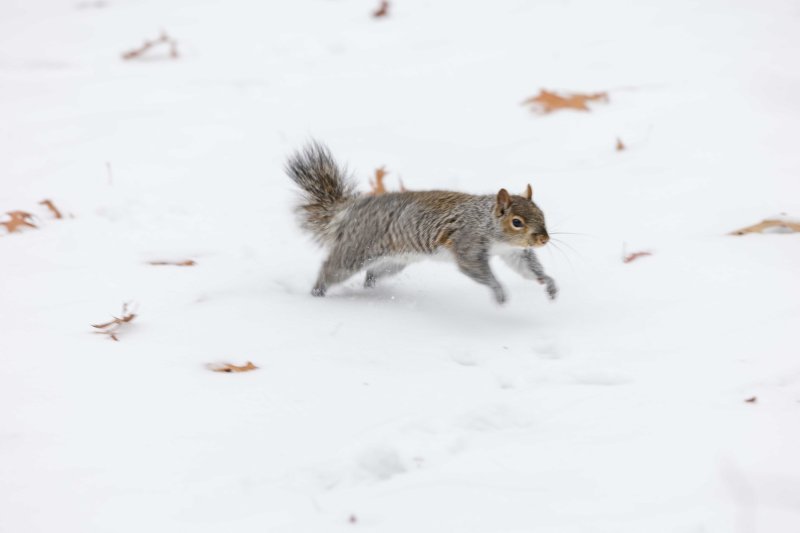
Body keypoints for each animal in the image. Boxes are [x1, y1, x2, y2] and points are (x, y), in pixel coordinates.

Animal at [286, 141, 556, 304]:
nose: (544, 239)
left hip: (393, 262)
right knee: (332, 268)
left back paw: (371, 288)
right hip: (357, 249)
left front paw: (549, 283)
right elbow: (474, 268)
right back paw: (317, 293)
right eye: (517, 222)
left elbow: (526, 268)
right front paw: (498, 290)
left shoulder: (514, 252)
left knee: (372, 273)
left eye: (542, 214)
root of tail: (354, 208)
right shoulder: (467, 243)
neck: (487, 223)